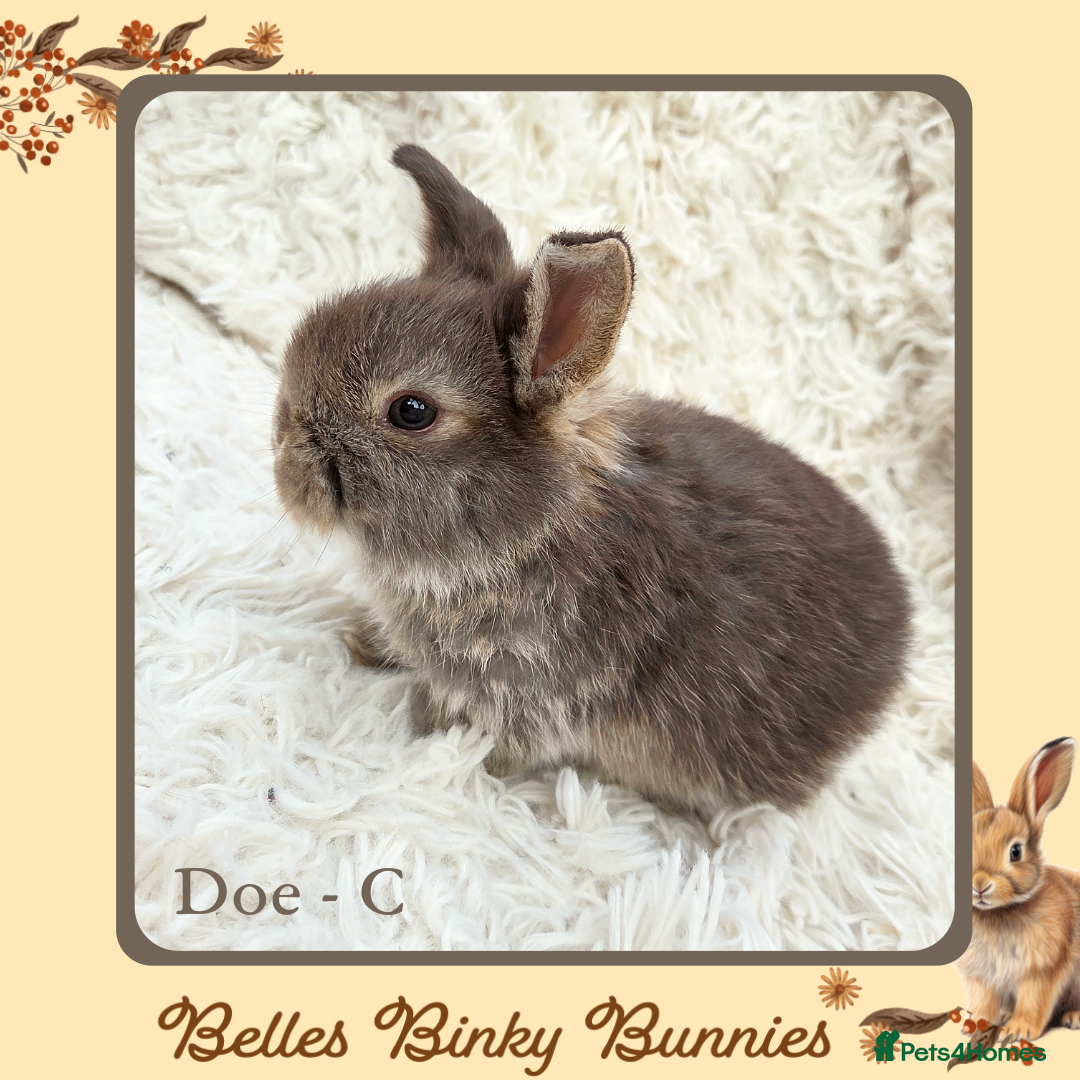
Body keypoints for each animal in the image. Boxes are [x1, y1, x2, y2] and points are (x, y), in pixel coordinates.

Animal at [272, 143, 912, 818]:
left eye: (412, 412)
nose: (285, 459)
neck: (533, 531)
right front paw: (362, 642)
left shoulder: (529, 691)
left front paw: (426, 736)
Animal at [957, 737, 1080, 1041]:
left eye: (1015, 851)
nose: (979, 885)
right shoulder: (983, 976)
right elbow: (983, 1001)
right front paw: (973, 1025)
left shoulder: (1041, 971)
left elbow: (1033, 1001)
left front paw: (1016, 1032)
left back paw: (1073, 1017)